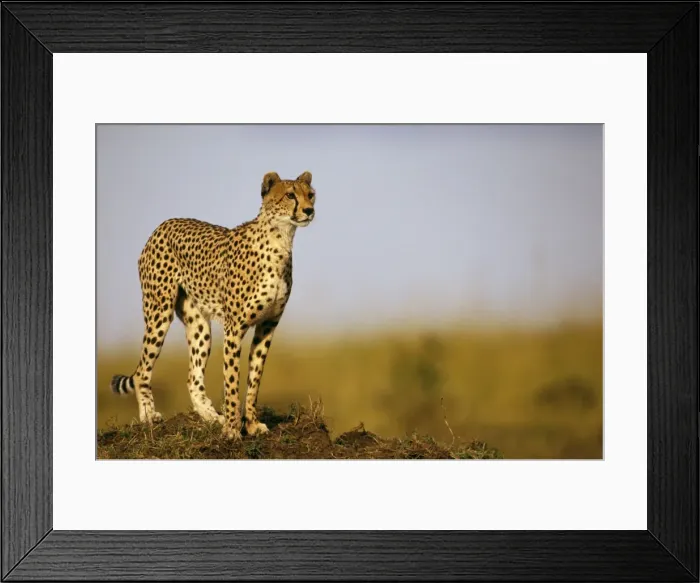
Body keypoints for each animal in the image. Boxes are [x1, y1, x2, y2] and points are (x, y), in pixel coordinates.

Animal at [110, 171, 316, 440]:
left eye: (310, 194)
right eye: (290, 195)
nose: (309, 210)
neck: (280, 240)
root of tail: (164, 224)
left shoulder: (267, 326)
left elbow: (254, 380)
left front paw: (250, 424)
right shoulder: (234, 327)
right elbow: (232, 380)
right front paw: (232, 430)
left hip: (199, 326)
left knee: (192, 377)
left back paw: (210, 416)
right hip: (158, 311)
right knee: (143, 369)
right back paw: (149, 416)